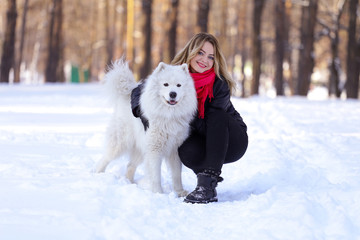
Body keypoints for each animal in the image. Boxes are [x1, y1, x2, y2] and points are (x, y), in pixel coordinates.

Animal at [95, 59, 197, 196]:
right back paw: (96, 173)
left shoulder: (174, 150)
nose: (173, 94)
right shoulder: (154, 150)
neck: (168, 115)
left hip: (140, 149)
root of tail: (126, 95)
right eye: (165, 84)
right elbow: (156, 175)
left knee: (130, 165)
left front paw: (180, 192)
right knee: (105, 158)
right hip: (121, 143)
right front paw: (158, 193)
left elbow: (177, 174)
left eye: (179, 85)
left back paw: (130, 183)